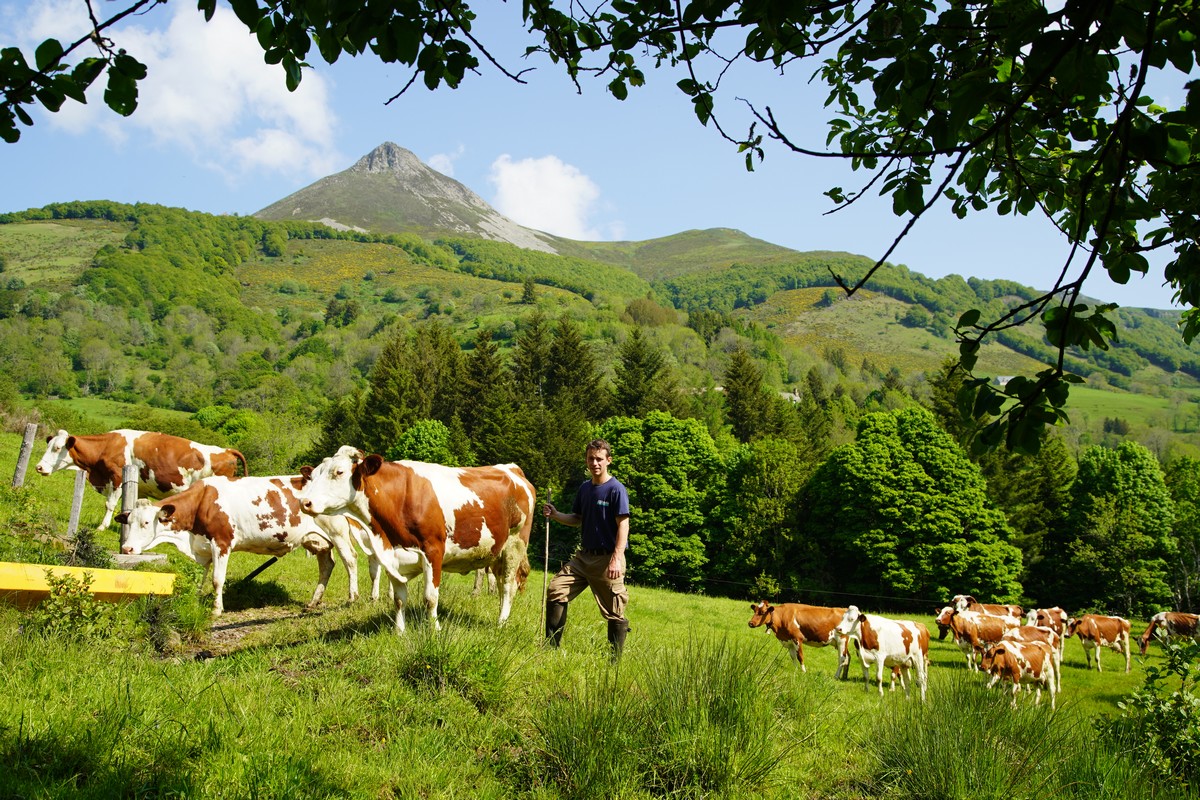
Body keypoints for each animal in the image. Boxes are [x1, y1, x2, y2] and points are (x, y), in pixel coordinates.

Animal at [36, 424, 248, 532]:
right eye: (49, 446)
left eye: (57, 448)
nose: (39, 467)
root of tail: (226, 450)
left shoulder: (116, 477)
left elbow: (109, 505)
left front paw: (103, 526)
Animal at [118, 479, 369, 618]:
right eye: (128, 521)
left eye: (146, 523)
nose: (127, 548)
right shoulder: (203, 547)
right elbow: (201, 578)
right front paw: (196, 601)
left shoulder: (222, 542)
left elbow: (217, 579)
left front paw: (216, 610)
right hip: (317, 540)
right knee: (327, 564)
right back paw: (313, 602)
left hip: (337, 532)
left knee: (350, 559)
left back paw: (352, 597)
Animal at [292, 448, 532, 633]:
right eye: (312, 476)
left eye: (339, 472)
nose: (305, 502)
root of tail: (511, 468)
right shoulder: (391, 554)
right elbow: (399, 599)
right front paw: (399, 631)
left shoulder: (433, 550)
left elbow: (430, 597)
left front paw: (434, 630)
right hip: (496, 551)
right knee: (501, 584)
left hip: (515, 545)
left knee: (508, 586)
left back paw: (501, 623)